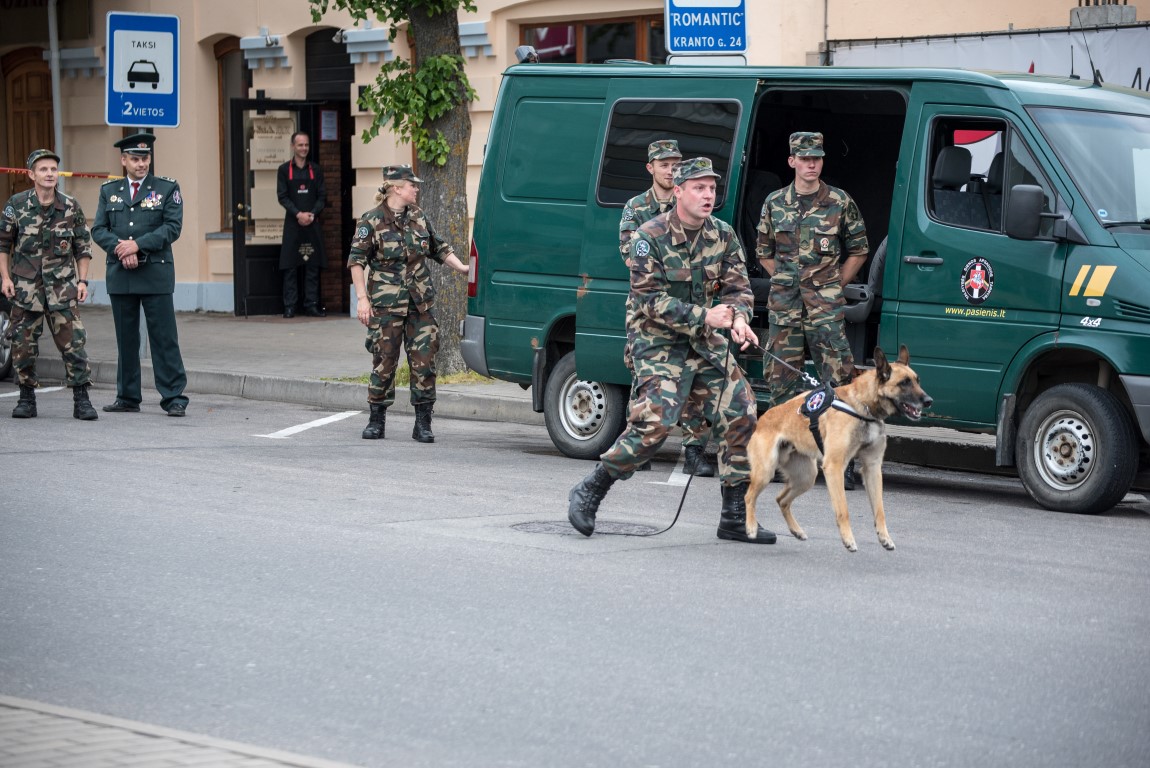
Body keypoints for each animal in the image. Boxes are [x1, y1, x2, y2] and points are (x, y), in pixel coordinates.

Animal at [744, 345, 932, 552]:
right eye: (904, 383)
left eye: (917, 381)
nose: (929, 400)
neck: (863, 406)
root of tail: (762, 419)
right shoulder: (834, 467)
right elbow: (843, 509)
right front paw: (848, 539)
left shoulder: (872, 468)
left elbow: (880, 509)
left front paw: (884, 537)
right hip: (766, 471)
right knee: (749, 496)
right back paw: (751, 528)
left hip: (806, 477)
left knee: (781, 499)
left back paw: (796, 530)